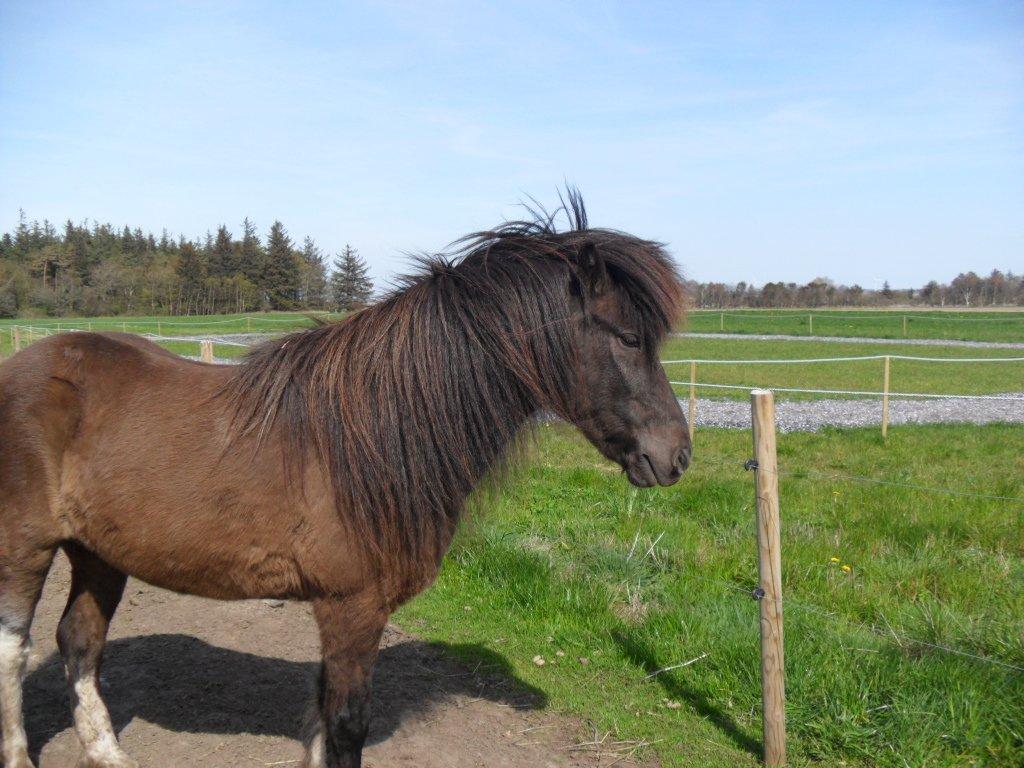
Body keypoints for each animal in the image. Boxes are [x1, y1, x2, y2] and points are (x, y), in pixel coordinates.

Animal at [0, 195, 692, 765]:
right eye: (629, 338)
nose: (678, 456)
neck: (378, 436)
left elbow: (323, 717)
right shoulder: (352, 607)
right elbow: (346, 726)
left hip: (98, 553)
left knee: (80, 642)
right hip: (26, 549)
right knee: (14, 651)